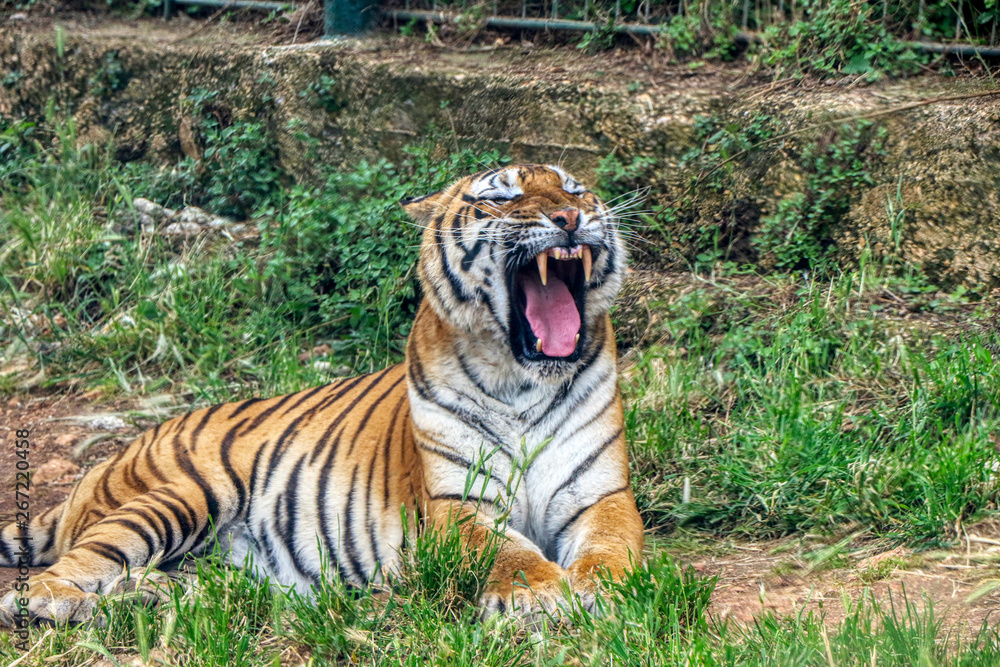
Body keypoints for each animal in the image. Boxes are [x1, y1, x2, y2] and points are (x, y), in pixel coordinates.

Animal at [0, 164, 644, 625]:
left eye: (575, 188)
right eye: (502, 198)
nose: (569, 215)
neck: (523, 378)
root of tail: (104, 464)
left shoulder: (601, 495)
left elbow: (613, 547)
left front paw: (608, 592)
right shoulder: (459, 503)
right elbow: (506, 551)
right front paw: (538, 596)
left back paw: (145, 598)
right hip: (180, 494)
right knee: (78, 563)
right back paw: (50, 602)